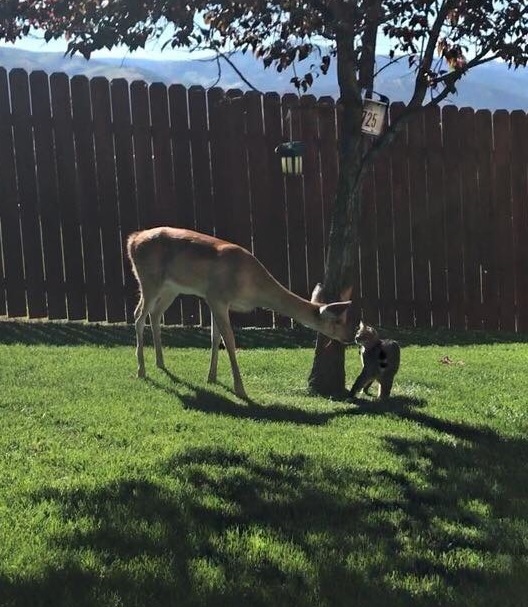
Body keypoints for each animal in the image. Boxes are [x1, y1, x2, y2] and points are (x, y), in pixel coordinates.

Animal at [126, 227, 356, 400]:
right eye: (338, 320)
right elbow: (229, 340)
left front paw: (212, 377)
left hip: (171, 288)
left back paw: (160, 363)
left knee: (155, 314)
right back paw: (141, 370)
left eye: (347, 319)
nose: (350, 337)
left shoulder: (213, 298)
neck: (252, 287)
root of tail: (132, 239)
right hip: (148, 278)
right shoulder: (217, 296)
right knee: (138, 315)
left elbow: (215, 337)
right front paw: (240, 389)